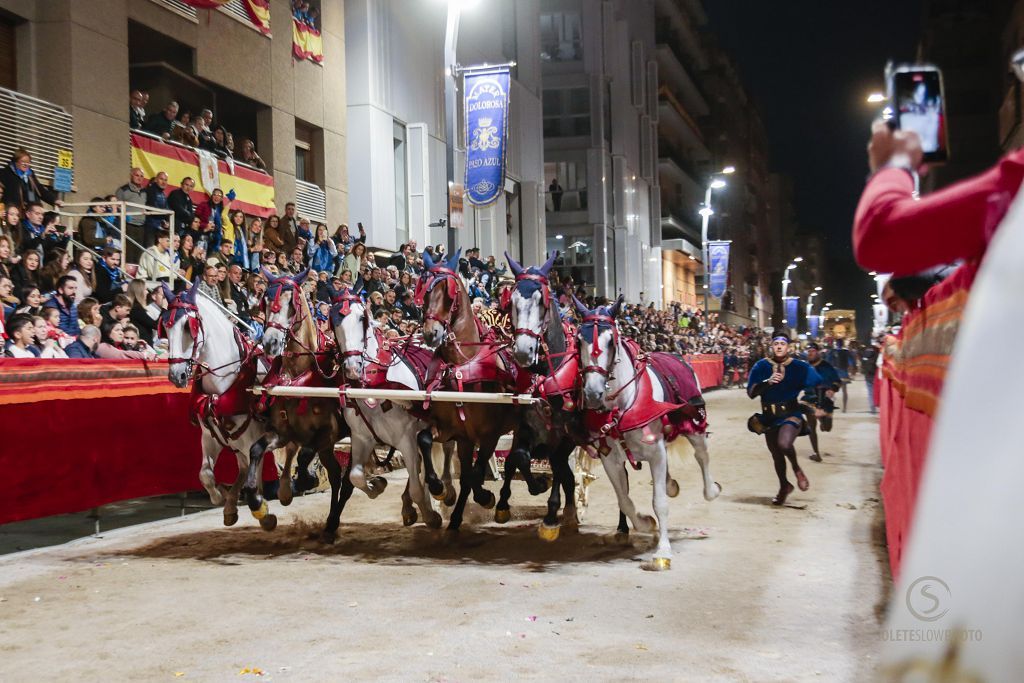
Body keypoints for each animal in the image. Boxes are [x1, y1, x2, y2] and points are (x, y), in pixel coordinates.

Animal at [161, 280, 280, 532]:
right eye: (165, 326)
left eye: (188, 327)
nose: (176, 375)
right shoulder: (210, 437)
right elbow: (205, 474)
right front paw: (221, 497)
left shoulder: (253, 442)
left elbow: (255, 481)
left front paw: (263, 512)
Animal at [327, 286, 440, 532]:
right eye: (333, 320)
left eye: (362, 318)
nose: (352, 367)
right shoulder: (361, 437)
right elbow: (355, 476)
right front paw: (377, 484)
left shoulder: (406, 438)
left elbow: (417, 485)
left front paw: (430, 515)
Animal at [419, 250, 524, 532]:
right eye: (423, 292)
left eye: (449, 293)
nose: (430, 334)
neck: (462, 366)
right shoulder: (456, 432)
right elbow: (425, 440)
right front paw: (441, 491)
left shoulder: (489, 434)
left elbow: (475, 474)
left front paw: (485, 497)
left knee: (515, 459)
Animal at [577, 296, 720, 569]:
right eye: (579, 340)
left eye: (610, 341)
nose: (592, 393)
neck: (623, 406)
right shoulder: (610, 458)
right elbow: (624, 499)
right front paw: (644, 523)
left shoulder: (656, 452)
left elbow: (659, 502)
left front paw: (663, 552)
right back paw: (671, 483)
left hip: (694, 424)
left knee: (703, 456)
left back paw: (711, 490)